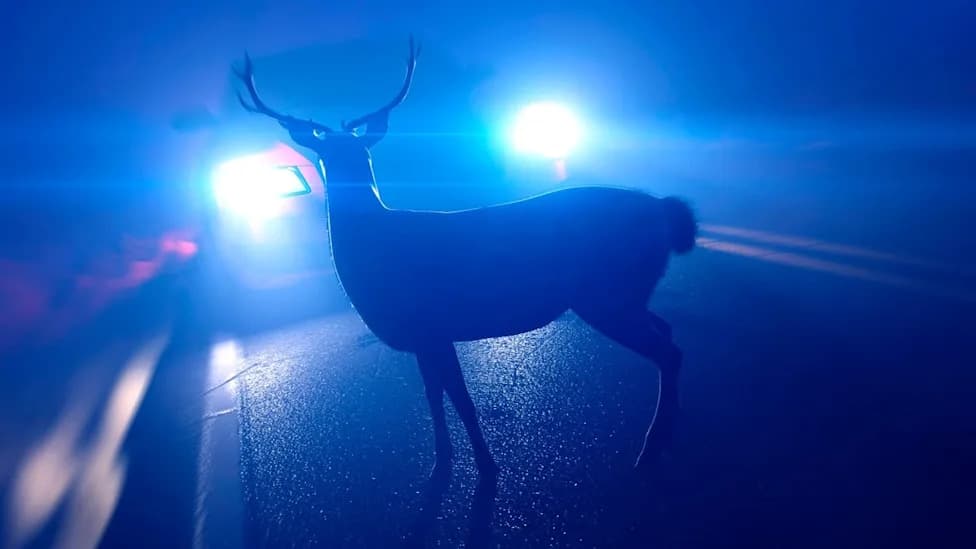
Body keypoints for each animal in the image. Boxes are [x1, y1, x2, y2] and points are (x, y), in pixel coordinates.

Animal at [233, 37, 697, 483]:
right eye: (325, 156)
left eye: (362, 153)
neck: (375, 250)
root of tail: (666, 211)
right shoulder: (425, 335)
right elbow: (434, 398)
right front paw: (441, 464)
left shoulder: (432, 325)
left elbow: (461, 400)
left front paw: (486, 467)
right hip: (626, 292)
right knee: (668, 332)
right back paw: (670, 434)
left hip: (606, 293)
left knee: (668, 351)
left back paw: (649, 449)